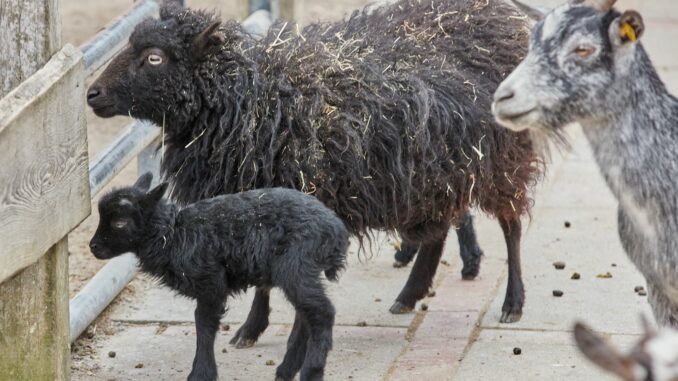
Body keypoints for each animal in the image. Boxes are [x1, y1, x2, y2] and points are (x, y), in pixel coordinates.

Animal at [86, 0, 540, 344]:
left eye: (154, 57)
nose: (92, 93)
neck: (253, 98)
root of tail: (500, 18)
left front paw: (261, 329)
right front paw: (252, 330)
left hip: (500, 157)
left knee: (512, 225)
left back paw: (513, 303)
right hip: (435, 172)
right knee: (440, 227)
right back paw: (410, 295)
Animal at [88, 173, 348, 380]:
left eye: (120, 222)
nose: (93, 247)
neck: (173, 235)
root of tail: (337, 232)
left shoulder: (211, 283)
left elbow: (204, 324)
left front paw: (201, 373)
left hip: (296, 265)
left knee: (322, 313)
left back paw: (311, 372)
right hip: (297, 272)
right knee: (306, 314)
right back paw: (286, 370)